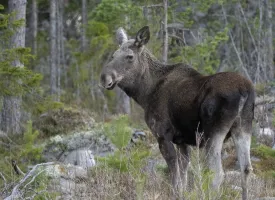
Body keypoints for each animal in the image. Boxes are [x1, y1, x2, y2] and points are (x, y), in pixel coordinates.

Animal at [100, 25, 256, 199]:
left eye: (130, 56)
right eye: (113, 55)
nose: (104, 77)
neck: (145, 94)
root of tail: (245, 91)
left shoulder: (162, 134)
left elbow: (174, 174)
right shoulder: (182, 140)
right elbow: (183, 174)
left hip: (214, 132)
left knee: (217, 173)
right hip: (243, 126)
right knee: (246, 169)